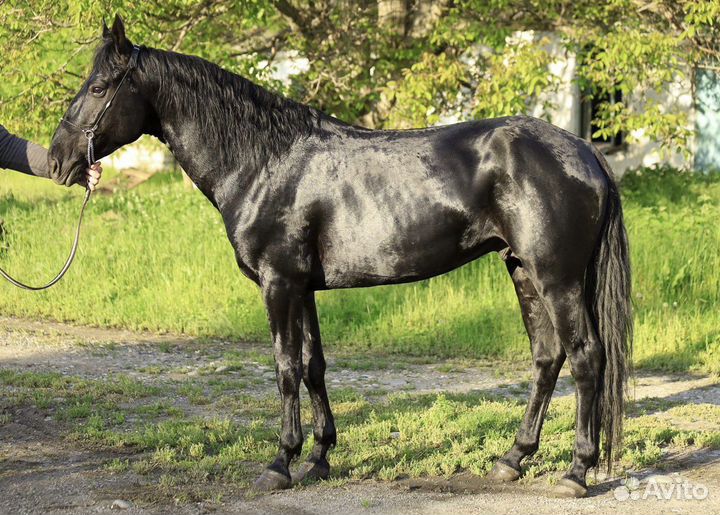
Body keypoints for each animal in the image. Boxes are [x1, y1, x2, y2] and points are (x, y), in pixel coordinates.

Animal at [49, 15, 632, 498]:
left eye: (98, 87)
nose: (57, 160)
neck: (265, 162)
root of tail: (584, 151)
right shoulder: (302, 287)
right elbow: (313, 367)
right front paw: (319, 458)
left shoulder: (279, 284)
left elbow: (285, 367)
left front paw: (280, 463)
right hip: (522, 270)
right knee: (547, 357)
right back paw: (512, 459)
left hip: (557, 278)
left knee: (586, 357)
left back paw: (577, 472)